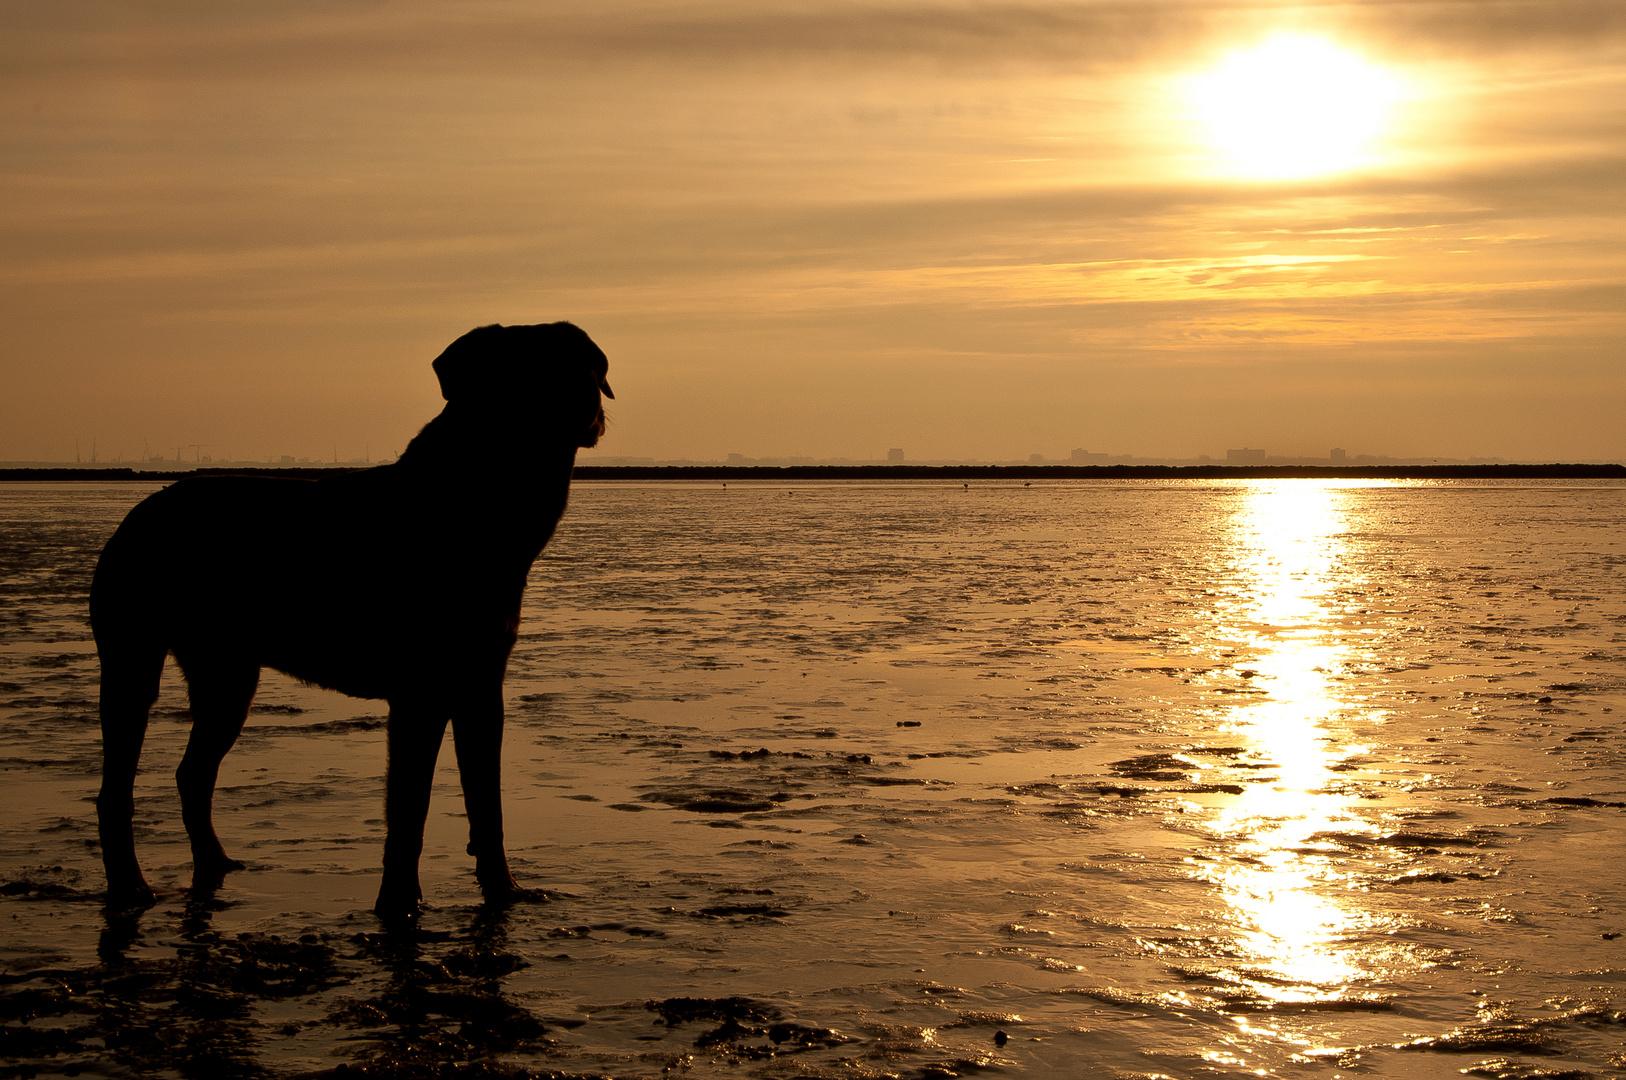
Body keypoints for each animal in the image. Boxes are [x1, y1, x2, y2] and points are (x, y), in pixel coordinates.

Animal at [96, 320, 614, 917]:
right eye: (523, 369)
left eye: (580, 362)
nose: (585, 399)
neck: (475, 504)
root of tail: (137, 514)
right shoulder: (420, 690)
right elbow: (410, 807)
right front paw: (400, 903)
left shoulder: (481, 686)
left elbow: (488, 803)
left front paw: (503, 891)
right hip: (132, 651)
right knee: (116, 785)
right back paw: (130, 885)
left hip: (226, 672)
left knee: (193, 772)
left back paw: (216, 863)